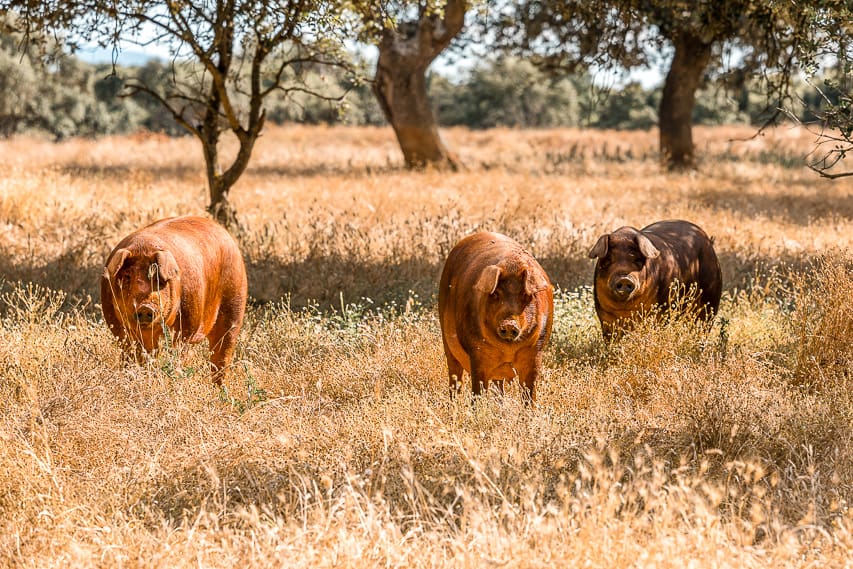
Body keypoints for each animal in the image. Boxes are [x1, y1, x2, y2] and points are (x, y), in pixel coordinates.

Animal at [100, 215, 248, 384]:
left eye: (158, 279)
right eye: (127, 277)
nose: (145, 307)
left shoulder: (186, 324)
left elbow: (177, 351)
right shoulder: (116, 326)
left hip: (235, 304)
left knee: (223, 353)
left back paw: (220, 387)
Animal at [438, 231, 554, 403]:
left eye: (525, 294)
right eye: (496, 294)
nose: (509, 324)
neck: (508, 349)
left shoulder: (535, 353)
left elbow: (529, 393)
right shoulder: (478, 354)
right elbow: (478, 392)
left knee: (499, 386)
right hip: (447, 342)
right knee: (455, 378)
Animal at [587, 219, 722, 339]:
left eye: (637, 260)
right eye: (608, 259)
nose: (624, 278)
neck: (625, 308)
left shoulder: (663, 310)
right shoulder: (604, 314)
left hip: (711, 296)